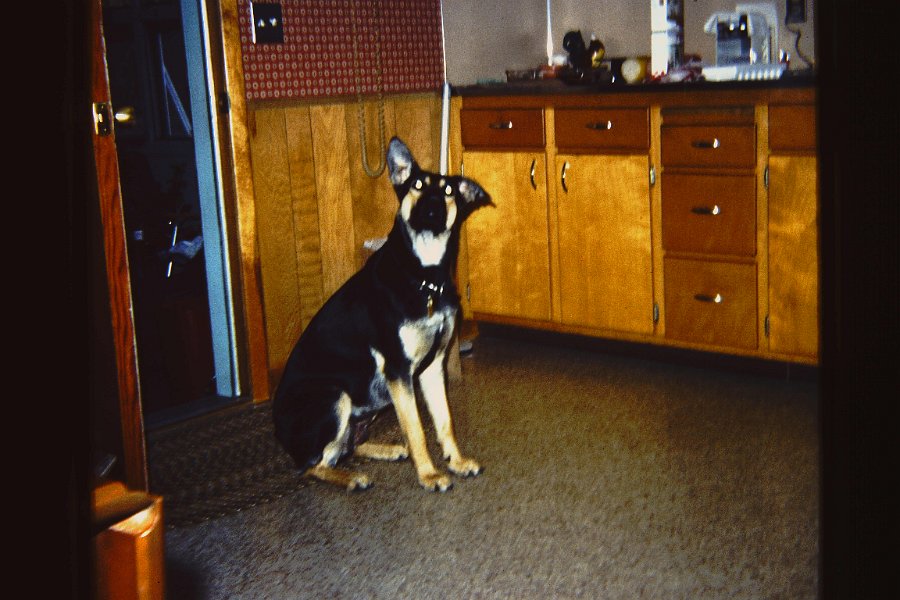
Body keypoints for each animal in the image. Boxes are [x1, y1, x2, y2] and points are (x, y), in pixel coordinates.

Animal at [272, 137, 492, 492]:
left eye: (448, 190)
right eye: (417, 185)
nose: (432, 208)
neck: (424, 277)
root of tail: (281, 434)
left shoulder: (433, 366)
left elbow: (444, 422)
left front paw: (456, 462)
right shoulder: (398, 370)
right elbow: (416, 429)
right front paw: (429, 475)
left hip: (372, 397)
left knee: (346, 447)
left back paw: (386, 451)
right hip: (337, 396)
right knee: (313, 465)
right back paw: (351, 478)